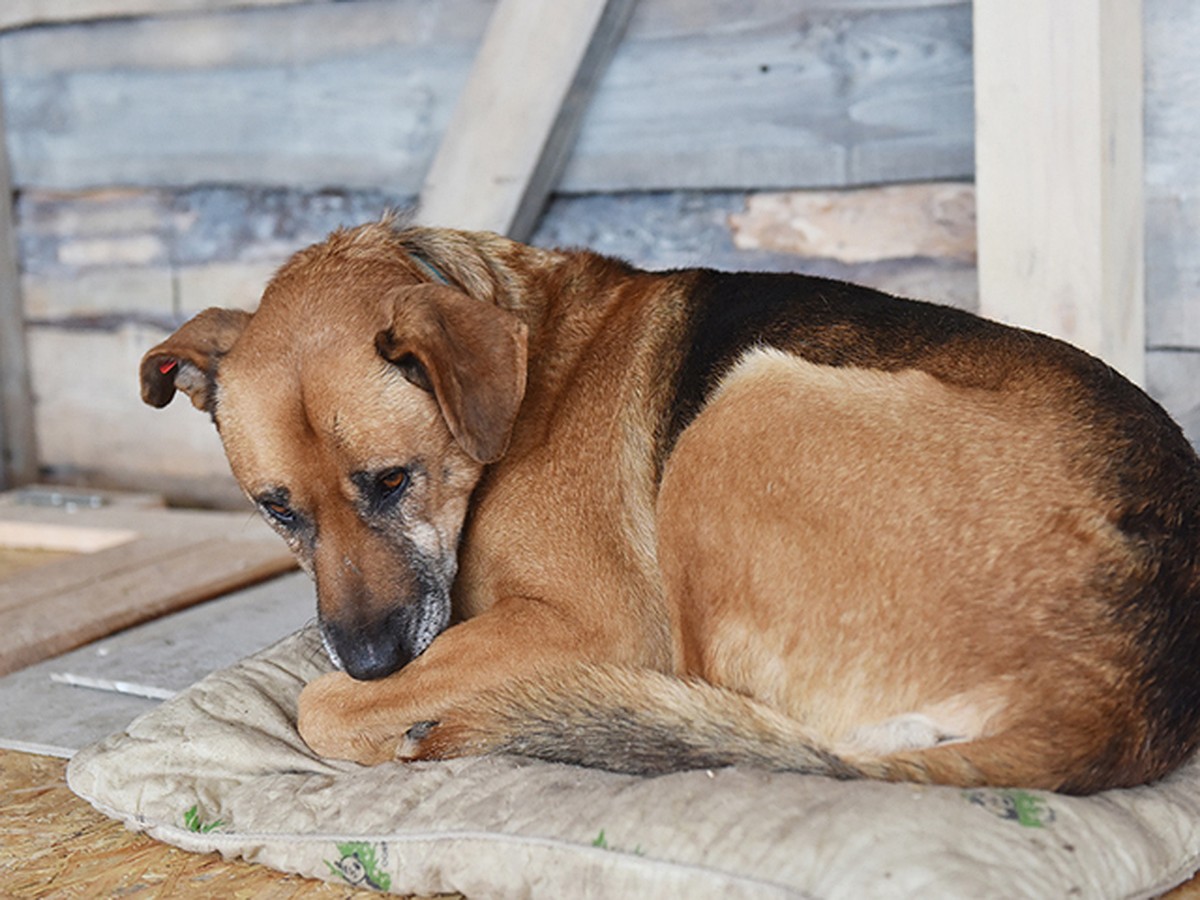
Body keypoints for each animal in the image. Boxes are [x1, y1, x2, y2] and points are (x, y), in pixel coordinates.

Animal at [140, 220, 1200, 796]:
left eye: (392, 481)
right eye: (278, 512)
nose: (371, 660)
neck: (526, 371)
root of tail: (1120, 693)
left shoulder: (594, 621)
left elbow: (318, 705)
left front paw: (378, 707)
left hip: (747, 405)